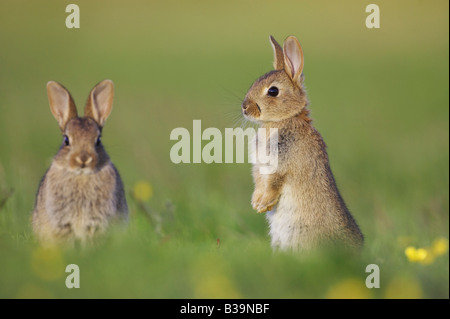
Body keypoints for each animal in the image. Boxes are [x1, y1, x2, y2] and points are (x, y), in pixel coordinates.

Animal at [33, 80, 128, 245]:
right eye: (66, 140)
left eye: (98, 140)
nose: (83, 159)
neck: (81, 176)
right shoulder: (62, 220)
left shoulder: (96, 220)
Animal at [241, 37, 364, 252]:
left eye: (273, 91)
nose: (245, 108)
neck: (281, 120)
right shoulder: (258, 165)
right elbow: (258, 180)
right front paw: (256, 204)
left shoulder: (282, 165)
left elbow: (273, 182)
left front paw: (264, 204)